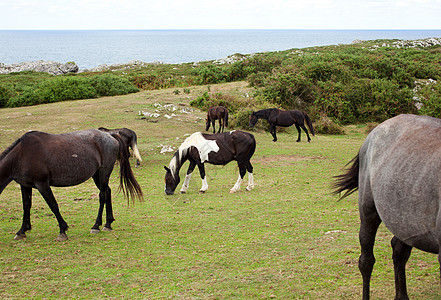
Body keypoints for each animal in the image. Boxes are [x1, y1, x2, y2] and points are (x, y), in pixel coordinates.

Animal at [0, 129, 143, 241]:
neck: (21, 155)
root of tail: (110, 135)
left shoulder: (42, 184)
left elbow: (53, 205)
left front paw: (62, 231)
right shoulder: (25, 185)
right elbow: (26, 206)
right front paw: (22, 231)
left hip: (104, 172)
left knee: (102, 195)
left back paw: (96, 226)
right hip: (97, 175)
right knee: (107, 192)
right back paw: (108, 223)